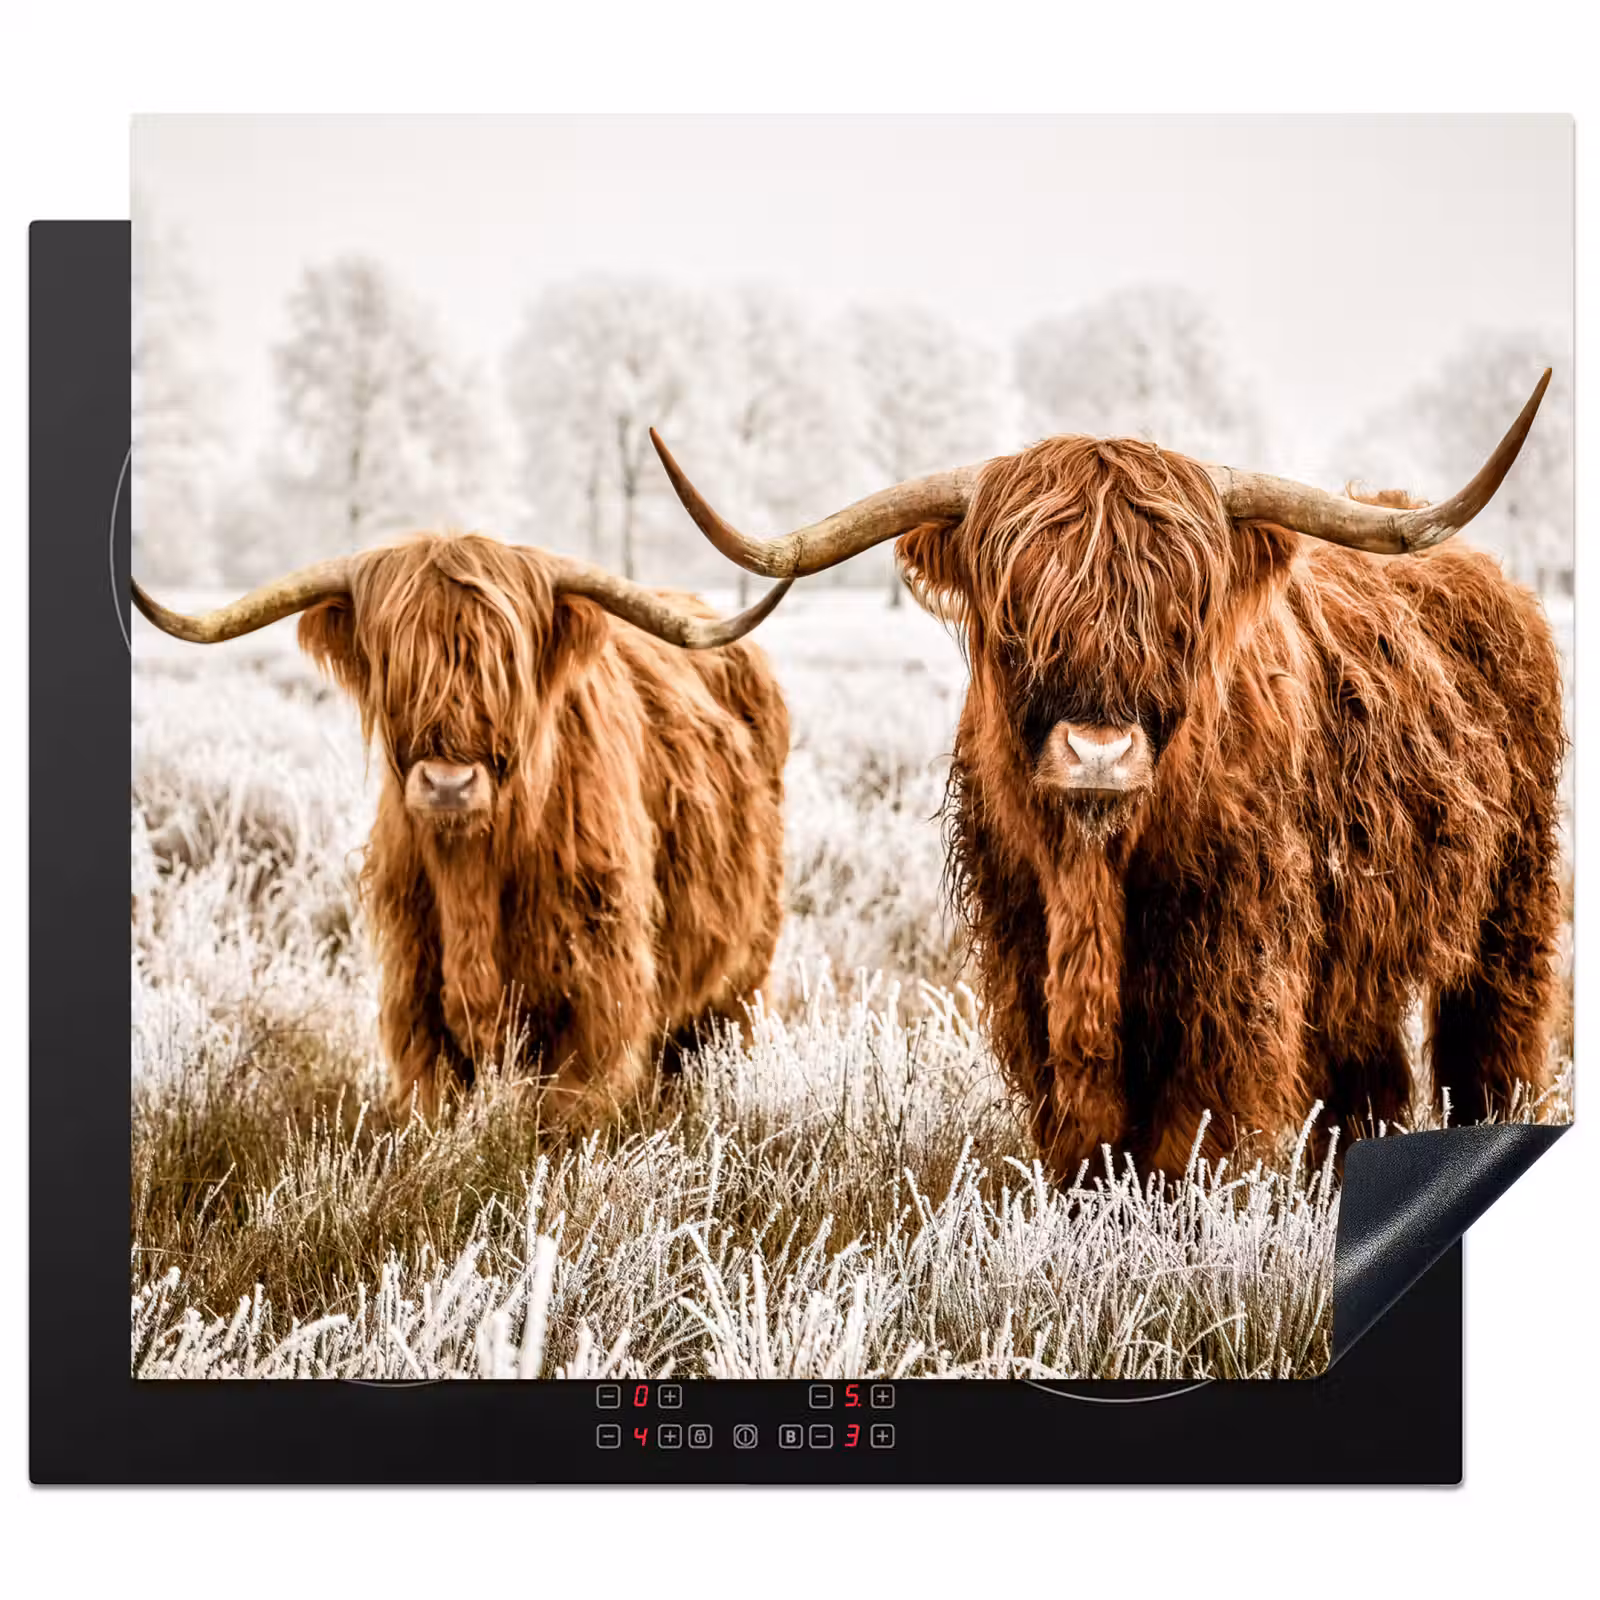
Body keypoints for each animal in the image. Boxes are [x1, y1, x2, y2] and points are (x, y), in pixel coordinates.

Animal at [134, 534, 792, 1127]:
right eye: (395, 665)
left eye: (505, 667)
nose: (448, 785)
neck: (470, 872)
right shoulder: (415, 996)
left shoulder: (600, 993)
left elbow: (568, 1117)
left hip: (742, 977)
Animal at [648, 372, 1564, 1179]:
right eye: (1017, 613)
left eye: (1181, 612)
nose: (1098, 752)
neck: (1095, 872)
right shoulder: (1027, 958)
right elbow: (1083, 1133)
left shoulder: (1234, 971)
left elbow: (1190, 1135)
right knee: (1368, 1078)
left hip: (1511, 903)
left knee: (1492, 1047)